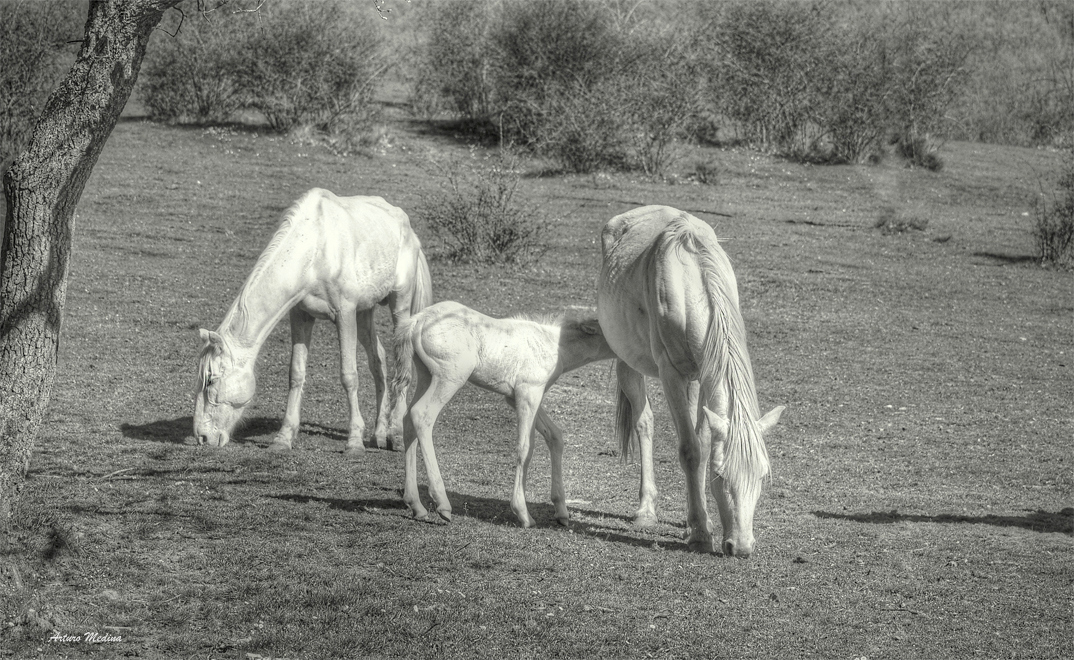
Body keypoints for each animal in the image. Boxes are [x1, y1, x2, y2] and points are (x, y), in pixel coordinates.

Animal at [193, 188, 431, 452]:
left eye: (210, 380)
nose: (201, 437)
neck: (314, 251)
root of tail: (407, 226)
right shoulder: (301, 316)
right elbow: (296, 374)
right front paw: (283, 438)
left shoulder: (345, 314)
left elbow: (349, 375)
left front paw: (354, 442)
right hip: (364, 312)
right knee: (378, 361)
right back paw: (379, 434)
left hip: (400, 306)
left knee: (403, 367)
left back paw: (396, 434)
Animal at [390, 302, 618, 530]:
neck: (554, 345)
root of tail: (417, 320)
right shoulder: (528, 393)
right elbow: (525, 448)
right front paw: (523, 514)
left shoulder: (518, 397)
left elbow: (555, 436)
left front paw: (561, 511)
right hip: (450, 377)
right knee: (421, 414)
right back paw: (442, 503)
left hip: (427, 375)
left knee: (408, 420)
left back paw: (416, 505)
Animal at [597, 206, 781, 558]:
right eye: (720, 477)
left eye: (762, 475)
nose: (741, 547)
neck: (689, 281)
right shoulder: (671, 373)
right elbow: (690, 450)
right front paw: (699, 534)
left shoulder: (704, 372)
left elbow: (705, 444)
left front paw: (698, 522)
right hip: (628, 360)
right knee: (644, 422)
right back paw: (645, 510)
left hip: (695, 379)